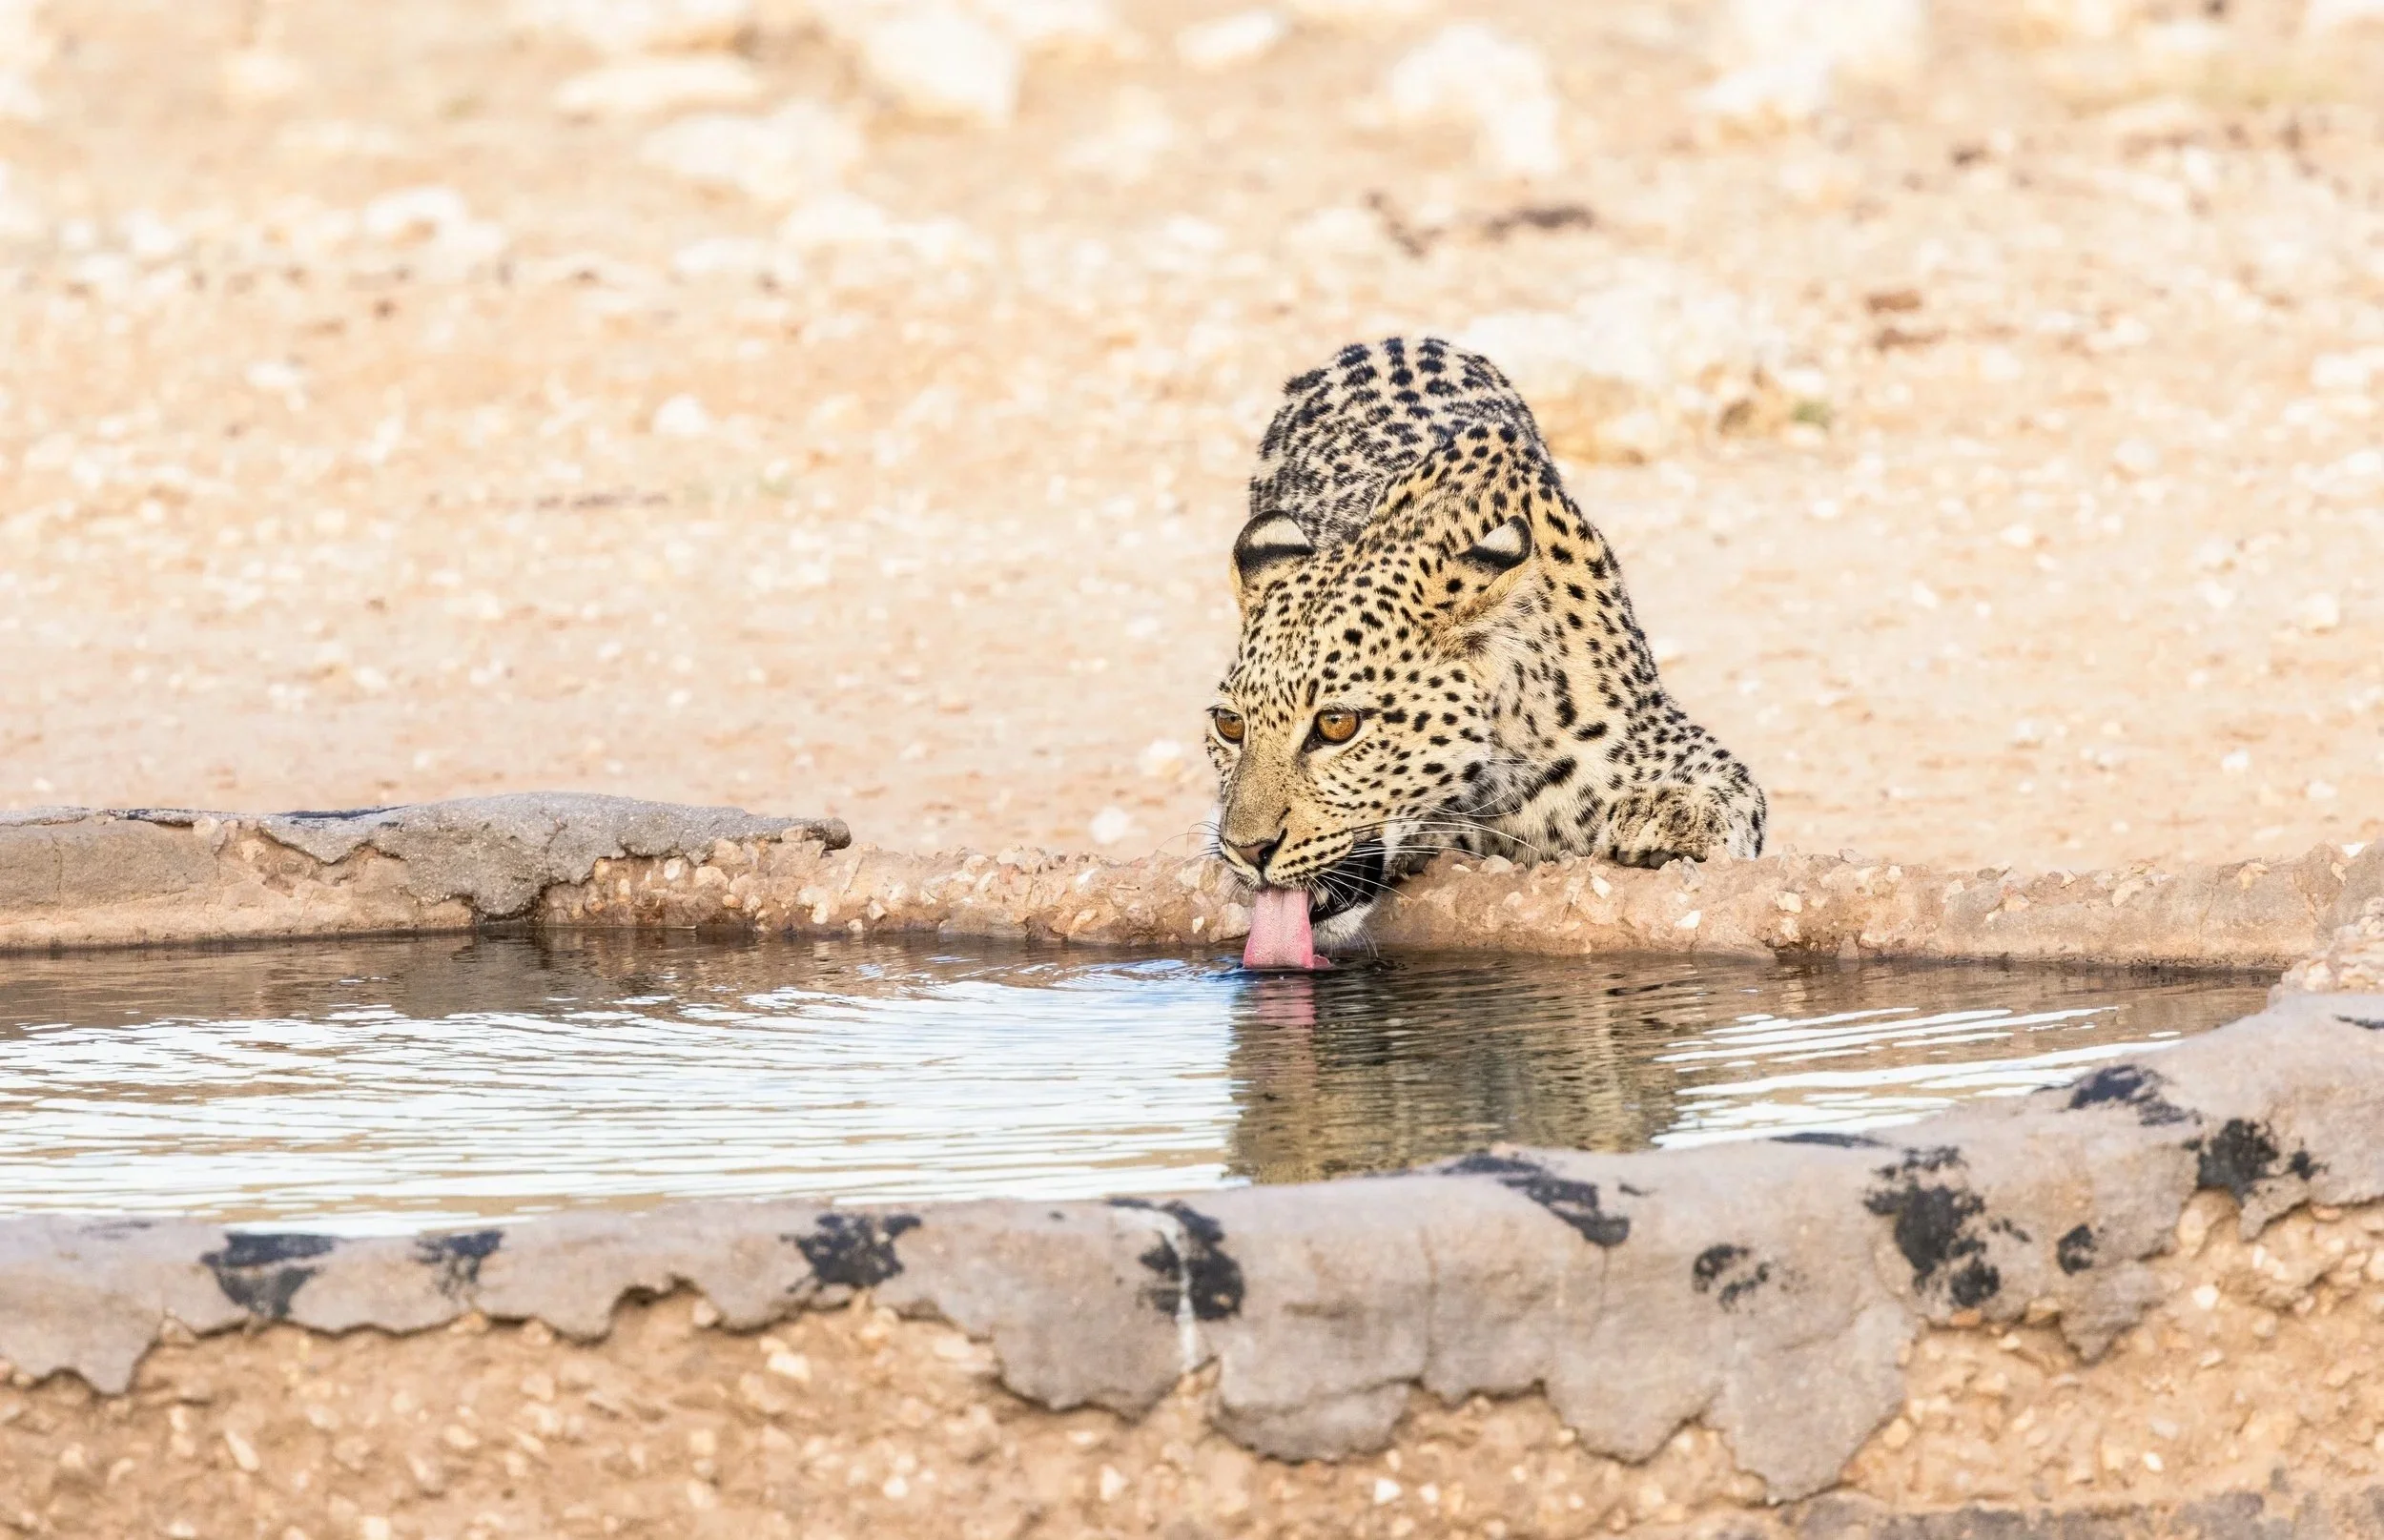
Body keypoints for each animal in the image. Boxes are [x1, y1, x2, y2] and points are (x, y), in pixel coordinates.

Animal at [1206, 335, 1766, 958]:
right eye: (1230, 725)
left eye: (1336, 725)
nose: (1246, 850)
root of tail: (1390, 338)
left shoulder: (1671, 742)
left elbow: (1727, 795)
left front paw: (1669, 816)